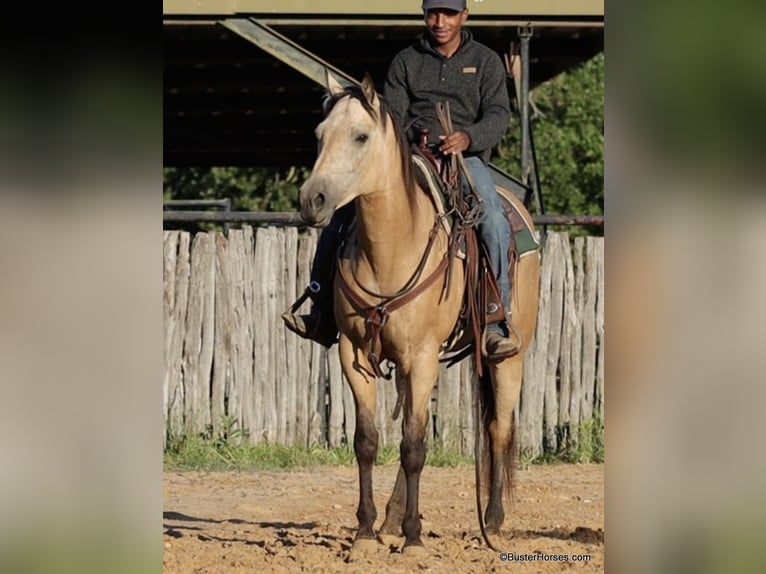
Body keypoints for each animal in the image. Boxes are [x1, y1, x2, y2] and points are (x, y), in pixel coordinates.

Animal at [298, 72, 541, 555]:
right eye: (319, 135)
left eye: (361, 136)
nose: (312, 199)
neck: (391, 247)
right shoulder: (356, 355)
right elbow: (368, 442)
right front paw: (365, 532)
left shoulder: (423, 356)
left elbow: (414, 447)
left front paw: (413, 538)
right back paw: (391, 518)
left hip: (509, 357)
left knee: (498, 428)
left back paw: (492, 520)